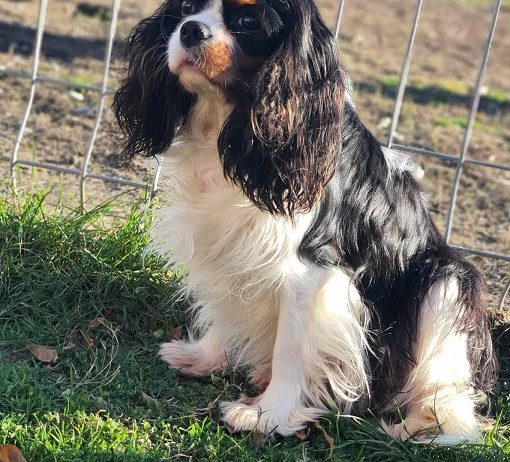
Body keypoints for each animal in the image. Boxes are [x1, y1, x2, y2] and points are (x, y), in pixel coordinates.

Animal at [113, 0, 496, 444]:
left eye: (249, 22)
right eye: (187, 9)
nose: (191, 30)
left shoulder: (311, 274)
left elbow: (292, 350)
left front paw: (266, 415)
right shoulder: (230, 246)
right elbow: (228, 307)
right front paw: (204, 356)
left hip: (445, 278)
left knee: (451, 400)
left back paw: (419, 424)